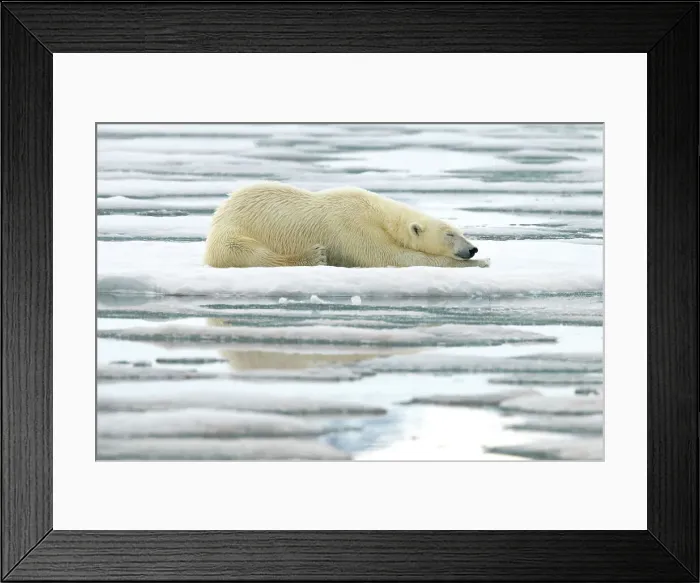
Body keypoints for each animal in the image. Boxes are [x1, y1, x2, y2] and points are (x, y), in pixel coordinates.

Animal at [203, 182, 490, 269]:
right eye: (449, 234)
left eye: (461, 232)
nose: (472, 249)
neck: (379, 214)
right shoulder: (352, 226)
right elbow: (388, 256)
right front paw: (481, 262)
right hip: (235, 231)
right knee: (250, 253)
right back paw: (313, 256)